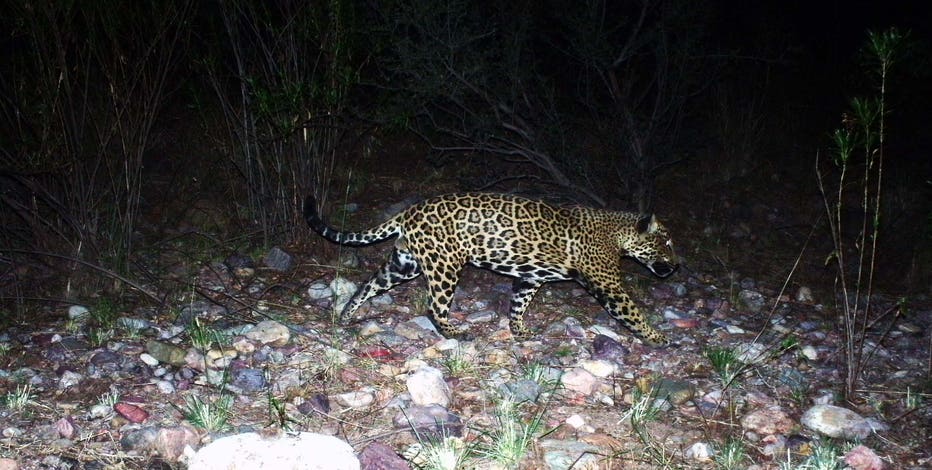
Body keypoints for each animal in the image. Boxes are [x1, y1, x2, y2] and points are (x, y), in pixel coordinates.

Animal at [304, 192, 679, 345]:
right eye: (667, 243)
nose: (676, 266)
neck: (618, 233)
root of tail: (410, 211)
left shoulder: (529, 277)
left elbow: (518, 305)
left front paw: (519, 330)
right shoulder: (608, 284)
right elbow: (633, 312)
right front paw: (658, 338)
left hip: (405, 265)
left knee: (367, 285)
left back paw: (347, 315)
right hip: (445, 265)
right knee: (434, 306)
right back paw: (453, 332)